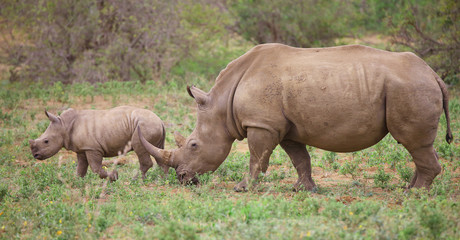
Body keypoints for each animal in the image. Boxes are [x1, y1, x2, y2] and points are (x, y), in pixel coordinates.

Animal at [28, 106, 167, 181]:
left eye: (46, 141)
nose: (35, 155)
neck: (63, 125)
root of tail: (160, 121)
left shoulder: (92, 148)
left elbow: (95, 168)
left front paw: (115, 176)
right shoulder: (82, 149)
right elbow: (81, 168)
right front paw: (77, 182)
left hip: (144, 126)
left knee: (141, 149)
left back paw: (136, 181)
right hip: (151, 126)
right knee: (158, 151)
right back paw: (162, 179)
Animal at [137, 43, 452, 191]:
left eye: (193, 145)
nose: (182, 178)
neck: (222, 104)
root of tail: (434, 74)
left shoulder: (262, 124)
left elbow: (256, 157)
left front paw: (242, 188)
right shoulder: (284, 126)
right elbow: (299, 157)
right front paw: (304, 189)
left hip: (409, 87)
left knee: (414, 143)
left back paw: (414, 194)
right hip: (411, 85)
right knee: (415, 145)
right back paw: (409, 188)